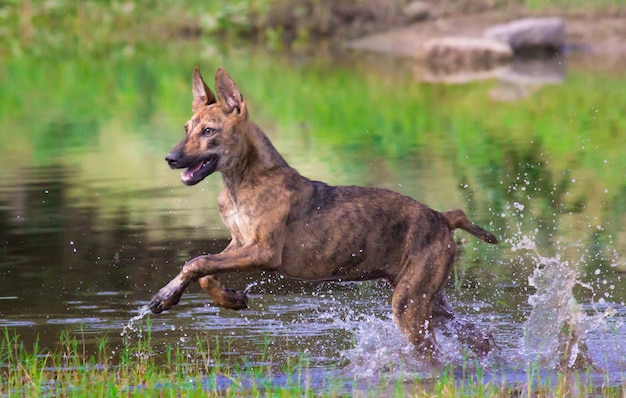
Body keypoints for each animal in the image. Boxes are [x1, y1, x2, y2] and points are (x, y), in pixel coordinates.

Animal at [149, 66, 494, 358]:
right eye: (186, 128)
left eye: (208, 131)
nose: (170, 158)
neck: (241, 181)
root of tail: (443, 218)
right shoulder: (239, 242)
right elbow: (204, 270)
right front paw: (224, 299)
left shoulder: (264, 251)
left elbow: (197, 262)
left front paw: (170, 296)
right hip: (426, 296)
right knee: (480, 336)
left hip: (409, 303)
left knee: (433, 353)